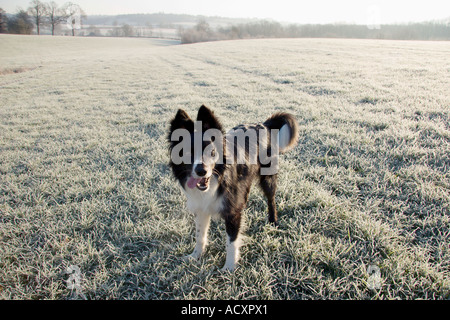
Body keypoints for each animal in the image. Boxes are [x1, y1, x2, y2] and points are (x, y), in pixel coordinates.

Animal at [169, 105, 298, 270]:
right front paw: (195, 255)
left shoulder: (232, 212)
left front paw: (229, 268)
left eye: (211, 152)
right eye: (187, 153)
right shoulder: (201, 208)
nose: (201, 171)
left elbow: (231, 242)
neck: (217, 179)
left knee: (271, 199)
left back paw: (273, 220)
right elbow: (200, 235)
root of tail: (264, 124)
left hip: (268, 177)